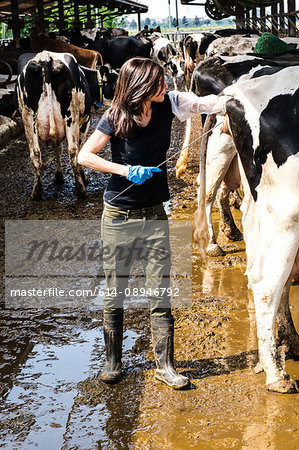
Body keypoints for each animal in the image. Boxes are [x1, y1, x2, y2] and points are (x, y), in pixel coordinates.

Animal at [15, 51, 117, 200]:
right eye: (117, 81)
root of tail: (45, 57)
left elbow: (57, 148)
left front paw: (58, 176)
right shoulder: (84, 121)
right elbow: (79, 149)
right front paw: (83, 177)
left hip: (27, 117)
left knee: (35, 154)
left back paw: (37, 191)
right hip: (71, 116)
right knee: (73, 151)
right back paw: (81, 190)